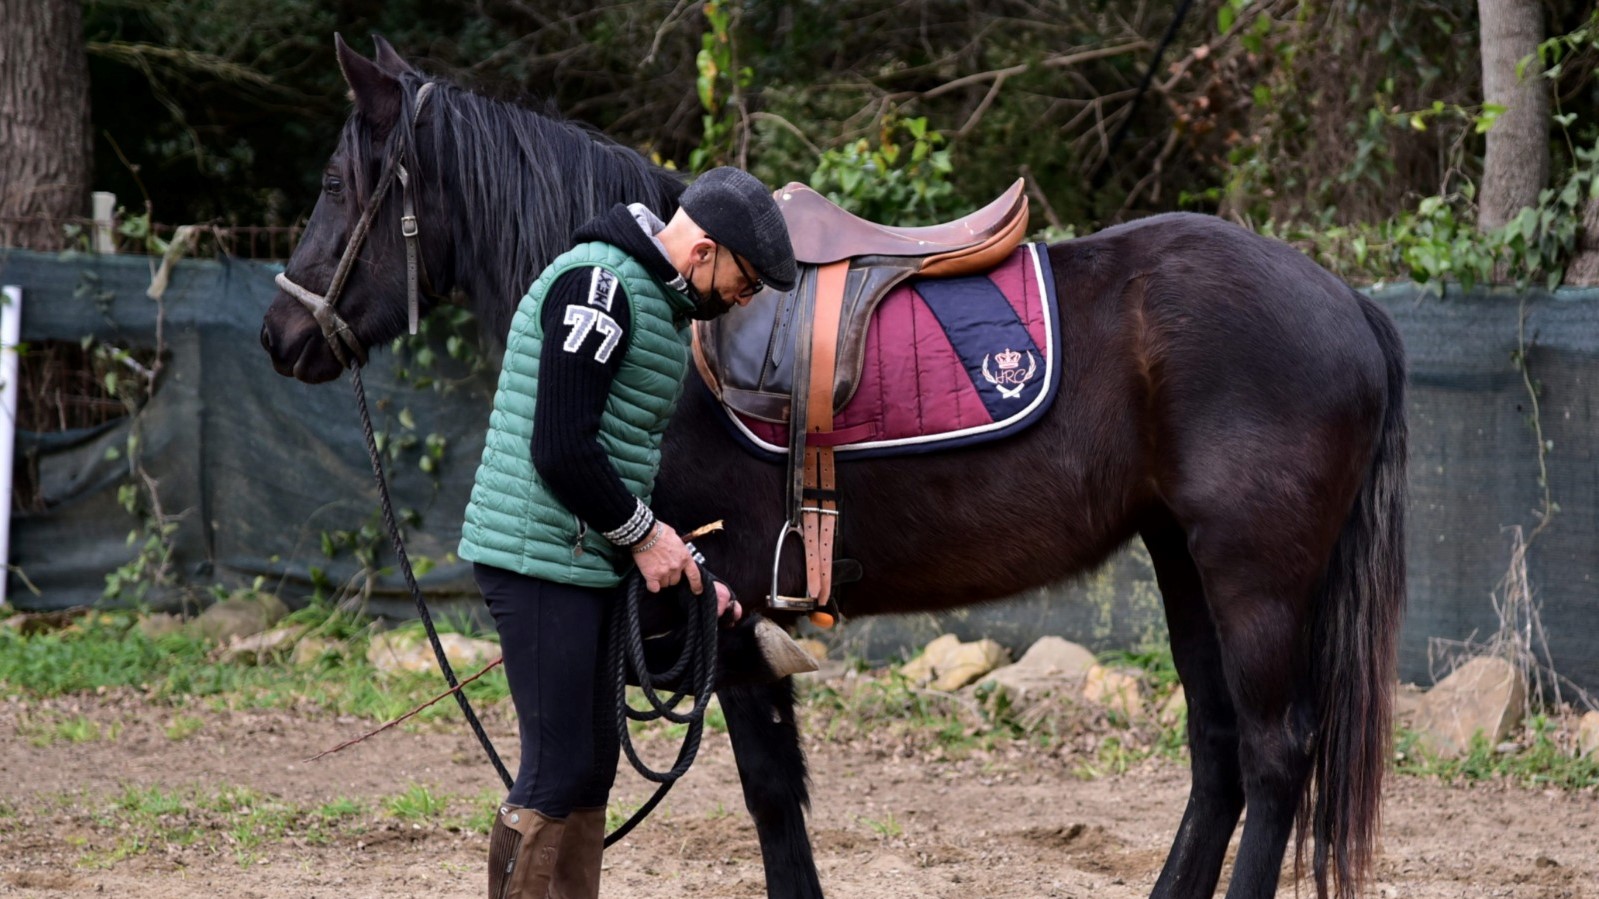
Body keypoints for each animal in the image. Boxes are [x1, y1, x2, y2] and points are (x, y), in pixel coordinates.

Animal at [261, 37, 1406, 899]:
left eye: (334, 182)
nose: (282, 332)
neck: (670, 299)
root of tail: (1343, 300)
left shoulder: (720, 609)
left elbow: (771, 792)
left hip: (1253, 576)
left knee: (1273, 753)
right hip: (1182, 561)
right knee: (1219, 752)